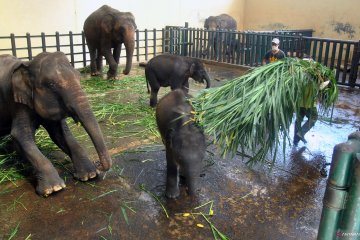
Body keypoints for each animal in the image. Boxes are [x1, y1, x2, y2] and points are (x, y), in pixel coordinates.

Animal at [0, 51, 112, 196]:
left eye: (79, 77)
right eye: (51, 84)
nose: (98, 163)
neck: (28, 65)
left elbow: (61, 133)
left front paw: (90, 175)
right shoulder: (17, 103)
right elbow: (19, 135)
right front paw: (53, 189)